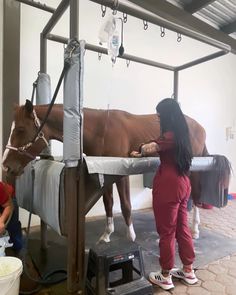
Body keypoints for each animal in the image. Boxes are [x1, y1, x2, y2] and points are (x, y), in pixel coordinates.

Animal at [1, 100, 230, 242]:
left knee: (196, 194)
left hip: (194, 168)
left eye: (20, 129)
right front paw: (107, 234)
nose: (6, 166)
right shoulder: (105, 171)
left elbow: (126, 205)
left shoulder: (121, 173)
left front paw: (131, 236)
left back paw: (195, 229)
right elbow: (109, 203)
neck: (100, 130)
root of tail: (198, 126)